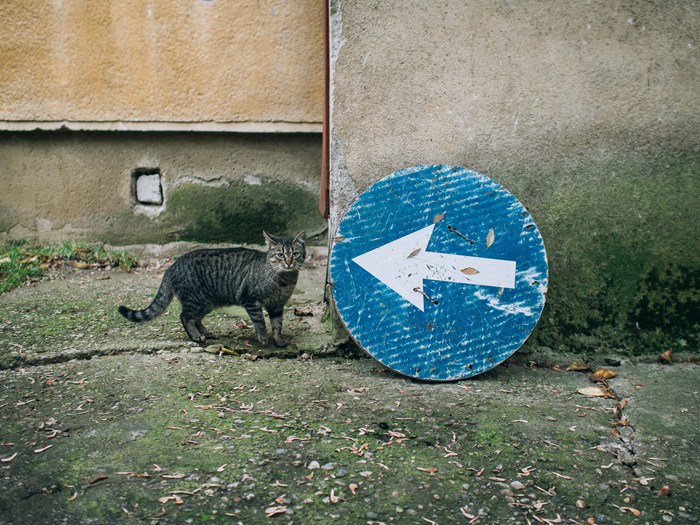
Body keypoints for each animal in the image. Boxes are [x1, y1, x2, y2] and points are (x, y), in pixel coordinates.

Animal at [118, 231, 306, 347]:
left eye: (295, 254)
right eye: (280, 255)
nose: (289, 262)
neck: (284, 281)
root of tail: (171, 267)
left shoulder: (277, 306)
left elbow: (277, 325)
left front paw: (278, 340)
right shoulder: (251, 301)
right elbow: (260, 322)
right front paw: (263, 338)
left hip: (206, 302)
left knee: (196, 319)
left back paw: (206, 333)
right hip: (197, 301)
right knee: (185, 317)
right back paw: (196, 336)